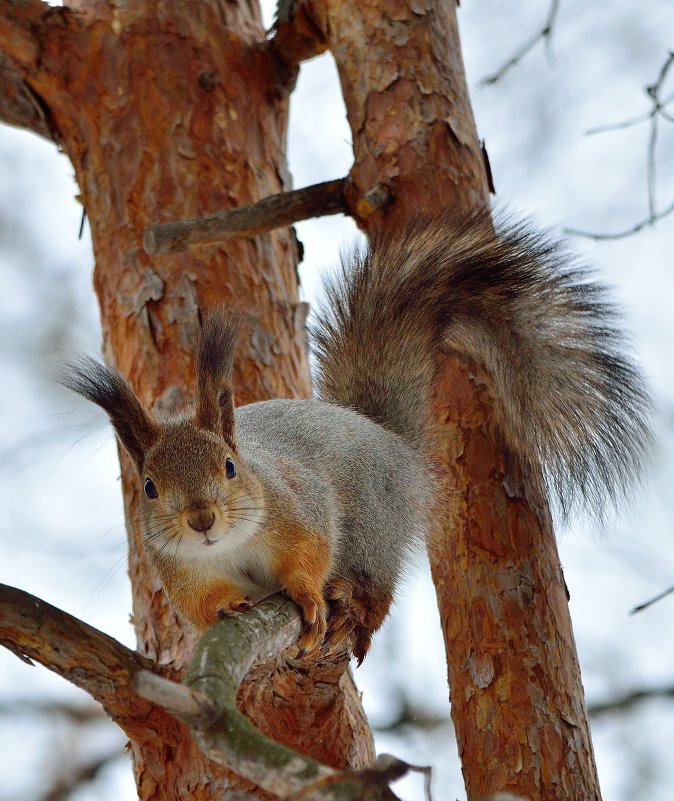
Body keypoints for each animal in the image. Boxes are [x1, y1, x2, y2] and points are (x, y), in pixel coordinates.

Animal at [63, 212, 644, 664]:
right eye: (150, 487)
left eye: (230, 466)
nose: (201, 519)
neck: (232, 544)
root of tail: (384, 434)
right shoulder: (180, 570)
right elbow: (202, 603)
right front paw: (225, 606)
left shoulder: (300, 506)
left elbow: (310, 554)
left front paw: (308, 597)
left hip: (374, 522)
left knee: (377, 580)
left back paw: (354, 609)